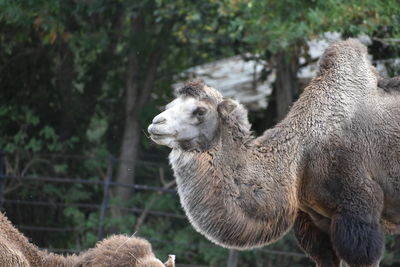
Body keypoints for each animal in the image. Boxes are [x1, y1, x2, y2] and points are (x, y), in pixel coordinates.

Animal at [148, 38, 400, 267]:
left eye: (199, 111)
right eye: (169, 106)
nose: (155, 123)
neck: (300, 155)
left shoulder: (359, 213)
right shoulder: (316, 223)